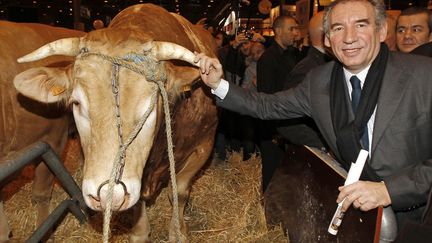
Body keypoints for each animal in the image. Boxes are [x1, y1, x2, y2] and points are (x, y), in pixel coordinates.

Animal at [13, 4, 218, 243]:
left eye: (151, 106)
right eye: (76, 103)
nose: (107, 194)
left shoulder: (204, 146)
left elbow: (180, 191)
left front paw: (179, 231)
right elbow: (139, 215)